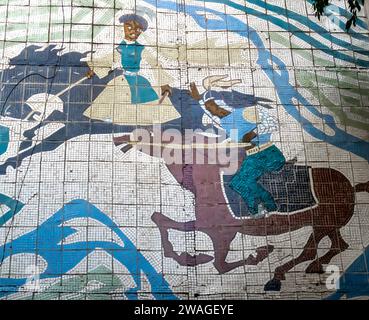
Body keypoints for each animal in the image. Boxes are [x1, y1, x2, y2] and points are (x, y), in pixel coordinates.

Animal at [113, 134, 366, 292]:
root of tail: (351, 186)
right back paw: (312, 267)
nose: (120, 139)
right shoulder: (207, 226)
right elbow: (160, 219)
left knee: (311, 250)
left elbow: (220, 265)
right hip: (328, 224)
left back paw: (278, 275)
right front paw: (187, 256)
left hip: (322, 224)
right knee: (338, 245)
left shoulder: (222, 233)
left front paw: (259, 254)